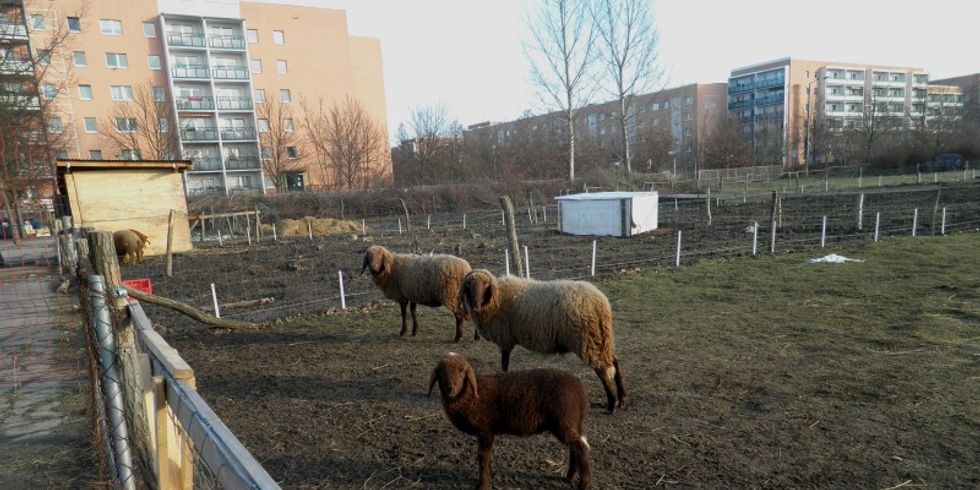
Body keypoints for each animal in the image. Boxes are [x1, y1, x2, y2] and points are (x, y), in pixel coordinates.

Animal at [428, 352, 592, 490]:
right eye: (441, 372)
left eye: (462, 371)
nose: (450, 389)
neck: (471, 396)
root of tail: (580, 388)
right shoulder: (488, 432)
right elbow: (487, 457)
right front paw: (489, 477)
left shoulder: (485, 429)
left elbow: (483, 457)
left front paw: (483, 485)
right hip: (571, 422)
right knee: (574, 447)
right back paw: (569, 477)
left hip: (563, 420)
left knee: (581, 446)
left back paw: (583, 483)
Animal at [459, 269, 626, 413]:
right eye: (468, 286)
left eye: (485, 285)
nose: (475, 305)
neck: (496, 299)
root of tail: (600, 302)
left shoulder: (505, 339)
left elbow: (504, 365)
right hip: (602, 337)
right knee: (614, 361)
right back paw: (622, 398)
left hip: (587, 339)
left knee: (602, 369)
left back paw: (612, 404)